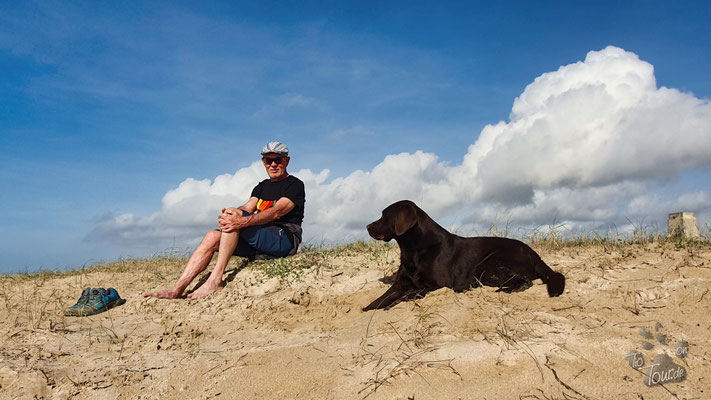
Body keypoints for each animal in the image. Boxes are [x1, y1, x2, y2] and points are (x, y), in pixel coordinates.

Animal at [364, 202, 564, 310]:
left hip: (487, 264)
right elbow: (381, 299)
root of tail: (535, 255)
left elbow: (405, 296)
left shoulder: (437, 285)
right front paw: (368, 308)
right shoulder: (400, 283)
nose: (367, 226)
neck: (413, 250)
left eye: (384, 215)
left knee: (525, 281)